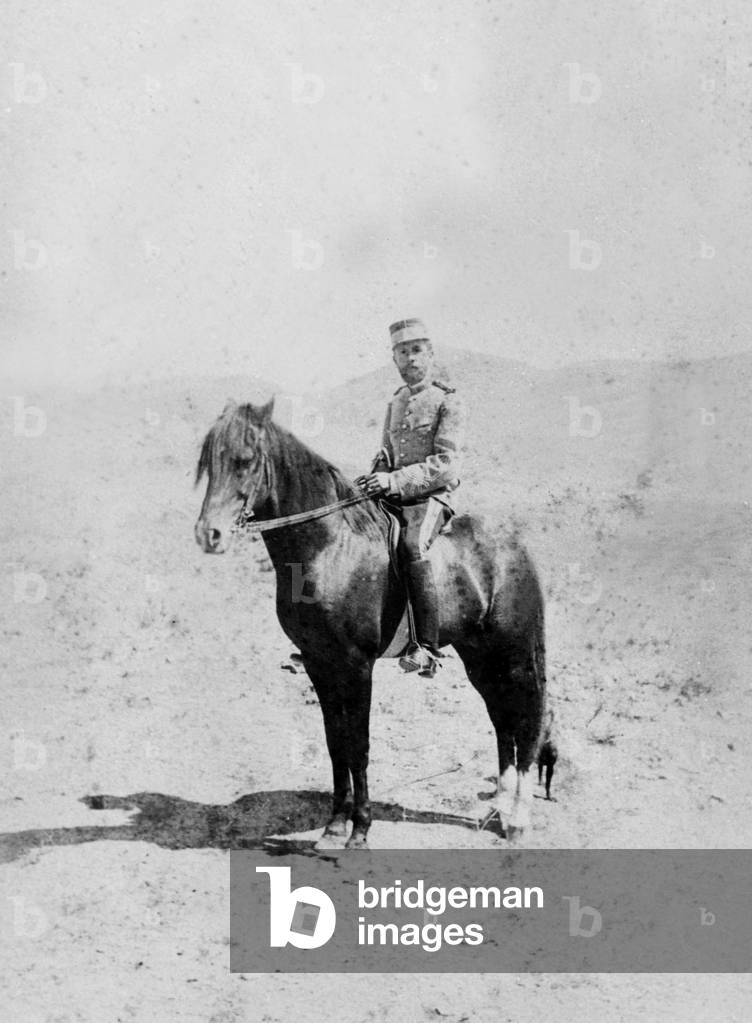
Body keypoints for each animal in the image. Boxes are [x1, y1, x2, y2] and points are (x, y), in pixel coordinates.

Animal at [194, 398, 547, 848]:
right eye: (208, 462)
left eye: (245, 460)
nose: (209, 535)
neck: (330, 547)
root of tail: (514, 543)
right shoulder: (319, 663)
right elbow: (336, 745)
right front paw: (334, 826)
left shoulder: (357, 665)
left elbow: (358, 746)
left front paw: (359, 830)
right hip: (479, 656)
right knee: (502, 719)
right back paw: (497, 810)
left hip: (515, 653)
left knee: (528, 719)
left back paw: (518, 819)